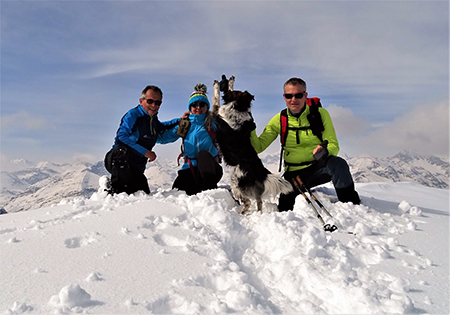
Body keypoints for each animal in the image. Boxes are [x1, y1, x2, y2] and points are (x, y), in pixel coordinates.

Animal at [213, 77, 294, 215]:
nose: (229, 77)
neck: (238, 106)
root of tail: (261, 171)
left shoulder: (216, 113)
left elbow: (215, 98)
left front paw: (217, 86)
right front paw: (231, 82)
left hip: (236, 184)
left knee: (248, 202)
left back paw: (241, 212)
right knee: (259, 202)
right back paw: (258, 213)